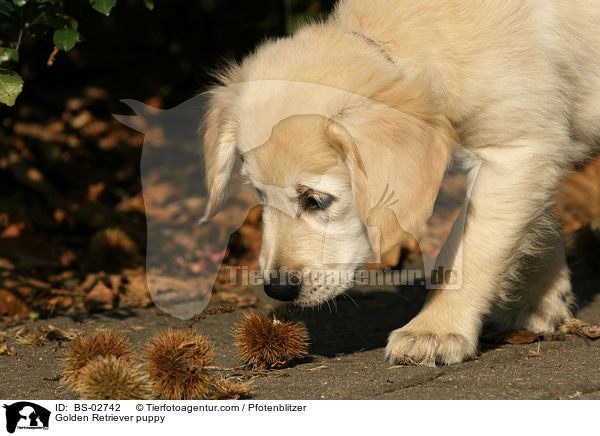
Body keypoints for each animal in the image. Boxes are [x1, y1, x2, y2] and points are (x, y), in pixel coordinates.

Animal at [200, 0, 600, 364]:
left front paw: (436, 329)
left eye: (315, 199)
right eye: (259, 194)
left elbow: (468, 252)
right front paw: (540, 303)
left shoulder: (514, 149)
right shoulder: (534, 150)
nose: (277, 289)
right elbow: (533, 222)